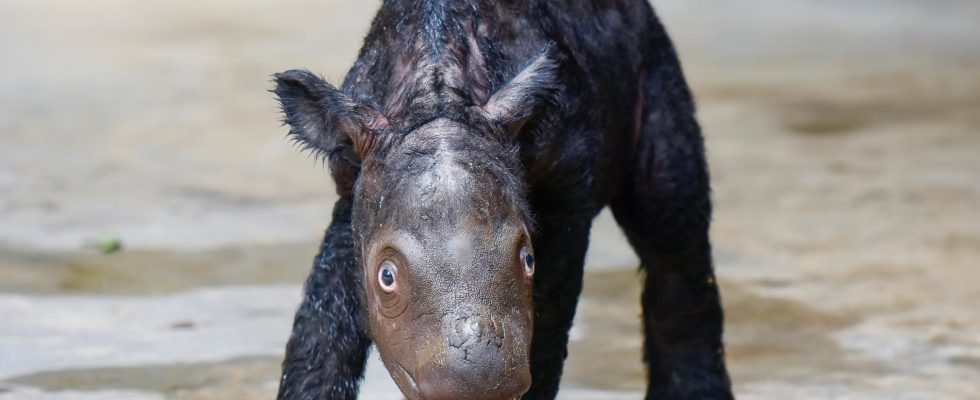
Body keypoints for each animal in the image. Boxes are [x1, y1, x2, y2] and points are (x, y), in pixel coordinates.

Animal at [272, 0, 732, 400]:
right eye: (386, 276)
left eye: (528, 259)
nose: (475, 386)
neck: (438, 95)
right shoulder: (351, 189)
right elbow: (320, 330)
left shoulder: (568, 195)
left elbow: (547, 335)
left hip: (657, 78)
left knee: (673, 243)